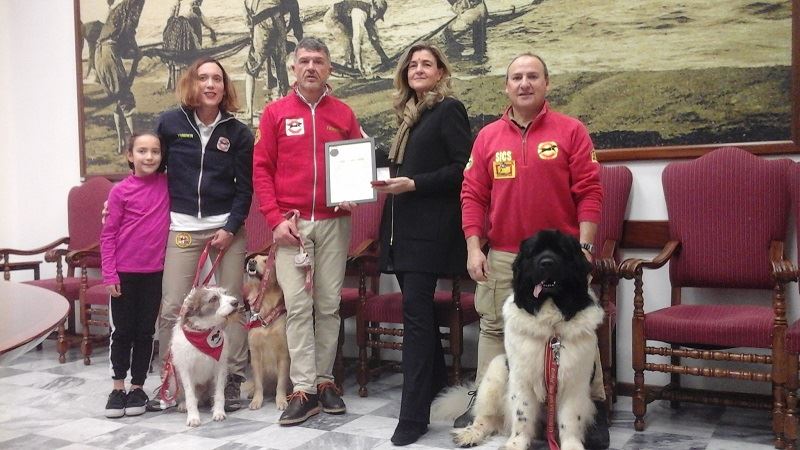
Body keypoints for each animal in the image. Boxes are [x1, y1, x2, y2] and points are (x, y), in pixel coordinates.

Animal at [170, 286, 239, 428]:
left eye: (225, 293)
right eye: (213, 299)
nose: (236, 302)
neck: (203, 332)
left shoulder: (220, 367)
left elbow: (219, 394)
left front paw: (219, 412)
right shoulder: (185, 369)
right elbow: (190, 396)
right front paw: (193, 417)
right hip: (174, 381)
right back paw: (183, 405)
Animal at [247, 253, 294, 412]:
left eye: (267, 261)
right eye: (255, 258)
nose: (251, 261)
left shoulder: (283, 354)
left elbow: (281, 383)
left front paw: (281, 400)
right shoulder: (255, 354)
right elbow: (258, 384)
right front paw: (256, 400)